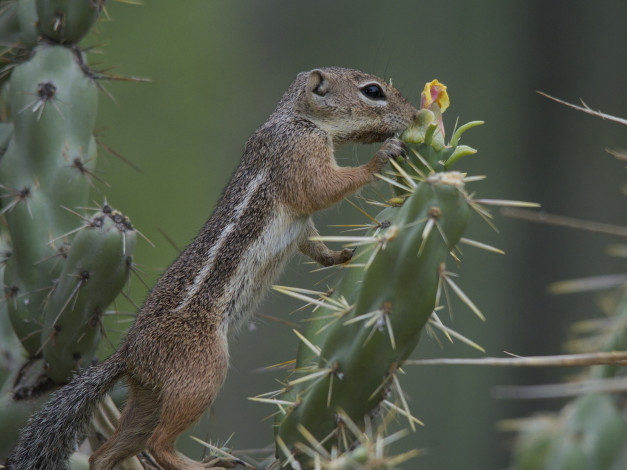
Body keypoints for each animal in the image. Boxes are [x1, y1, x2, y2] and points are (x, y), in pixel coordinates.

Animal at [8, 67, 418, 470]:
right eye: (373, 91)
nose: (415, 115)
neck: (297, 118)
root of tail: (129, 354)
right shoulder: (298, 154)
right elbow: (321, 189)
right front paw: (382, 157)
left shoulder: (301, 215)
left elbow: (311, 241)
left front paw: (343, 255)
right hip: (200, 374)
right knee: (158, 444)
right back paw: (209, 464)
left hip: (148, 397)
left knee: (106, 452)